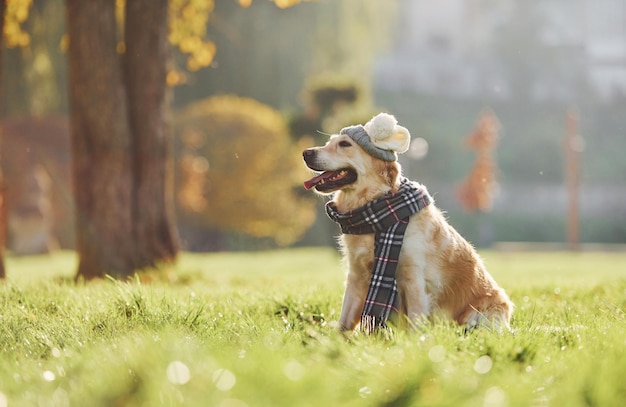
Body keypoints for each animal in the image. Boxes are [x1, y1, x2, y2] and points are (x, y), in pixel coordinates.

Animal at [302, 113, 512, 334]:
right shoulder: (356, 275)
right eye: (329, 142)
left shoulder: (413, 279)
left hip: (482, 316)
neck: (374, 212)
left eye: (344, 144)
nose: (306, 153)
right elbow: (344, 321)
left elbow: (415, 325)